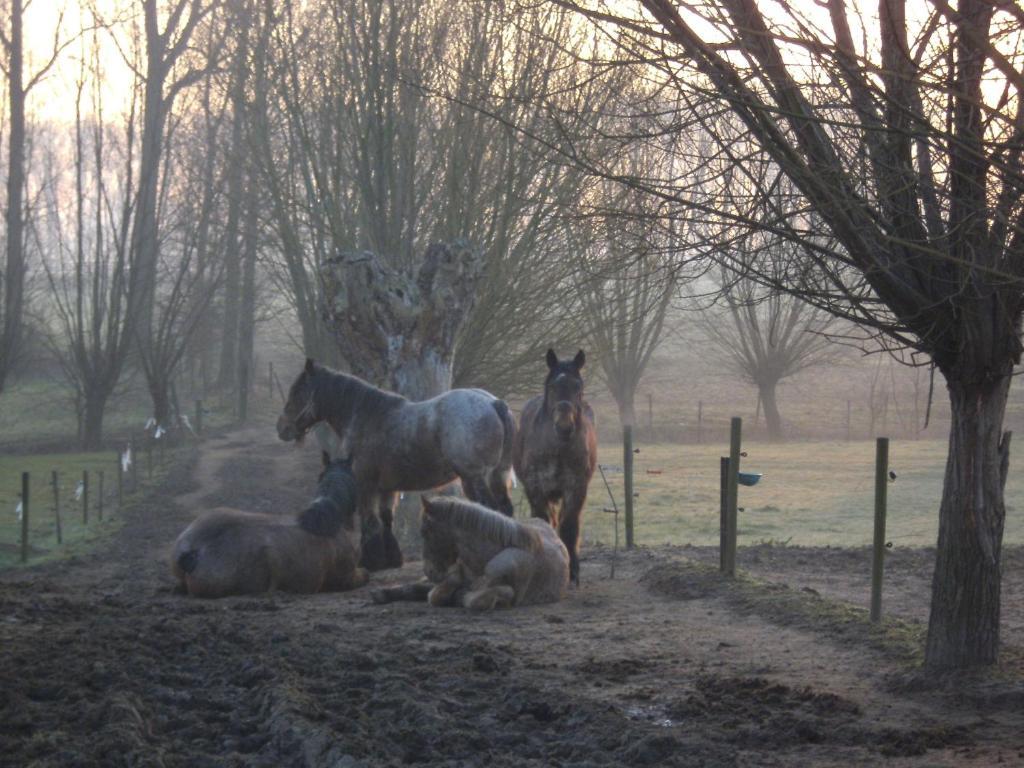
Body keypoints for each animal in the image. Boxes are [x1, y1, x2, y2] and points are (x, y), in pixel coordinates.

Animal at [276, 360, 516, 573]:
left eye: (298, 391)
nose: (282, 428)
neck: (367, 416)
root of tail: (493, 403)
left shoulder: (365, 485)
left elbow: (369, 522)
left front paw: (370, 561)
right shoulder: (387, 488)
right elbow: (386, 520)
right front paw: (390, 559)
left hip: (474, 478)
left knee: (489, 510)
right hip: (494, 476)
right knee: (503, 509)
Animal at [374, 499, 573, 614]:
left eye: (425, 531)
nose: (429, 571)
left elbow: (476, 599)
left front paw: (460, 595)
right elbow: (434, 593)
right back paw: (382, 594)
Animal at [516, 348, 598, 581]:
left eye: (578, 387)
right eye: (552, 387)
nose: (564, 427)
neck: (558, 449)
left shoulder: (575, 488)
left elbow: (569, 526)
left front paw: (573, 571)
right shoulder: (535, 488)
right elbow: (543, 521)